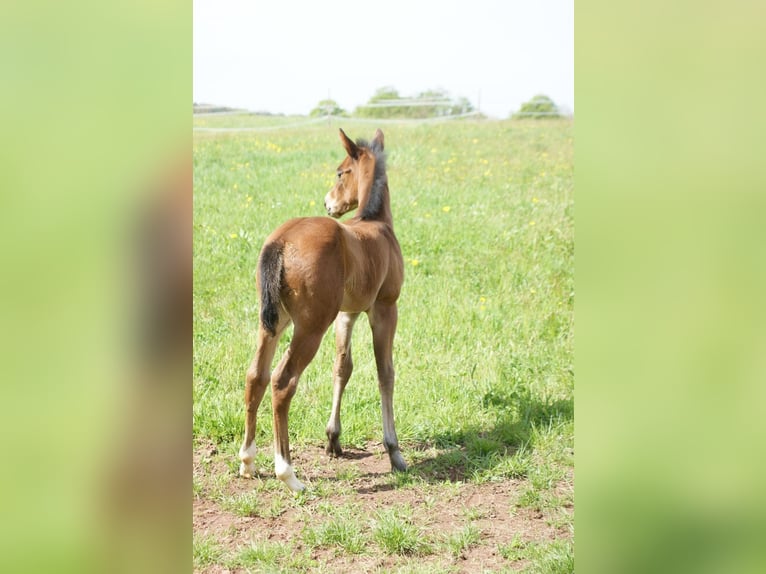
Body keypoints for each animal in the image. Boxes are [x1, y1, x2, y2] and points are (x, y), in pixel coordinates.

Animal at [238, 128, 407, 491]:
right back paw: (288, 474)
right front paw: (394, 451)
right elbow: (385, 372)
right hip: (311, 326)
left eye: (340, 172)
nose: (329, 203)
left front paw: (333, 438)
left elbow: (342, 367)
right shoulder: (385, 309)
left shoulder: (347, 313)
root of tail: (281, 240)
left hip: (273, 322)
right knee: (282, 380)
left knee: (256, 375)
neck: (377, 225)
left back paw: (247, 461)